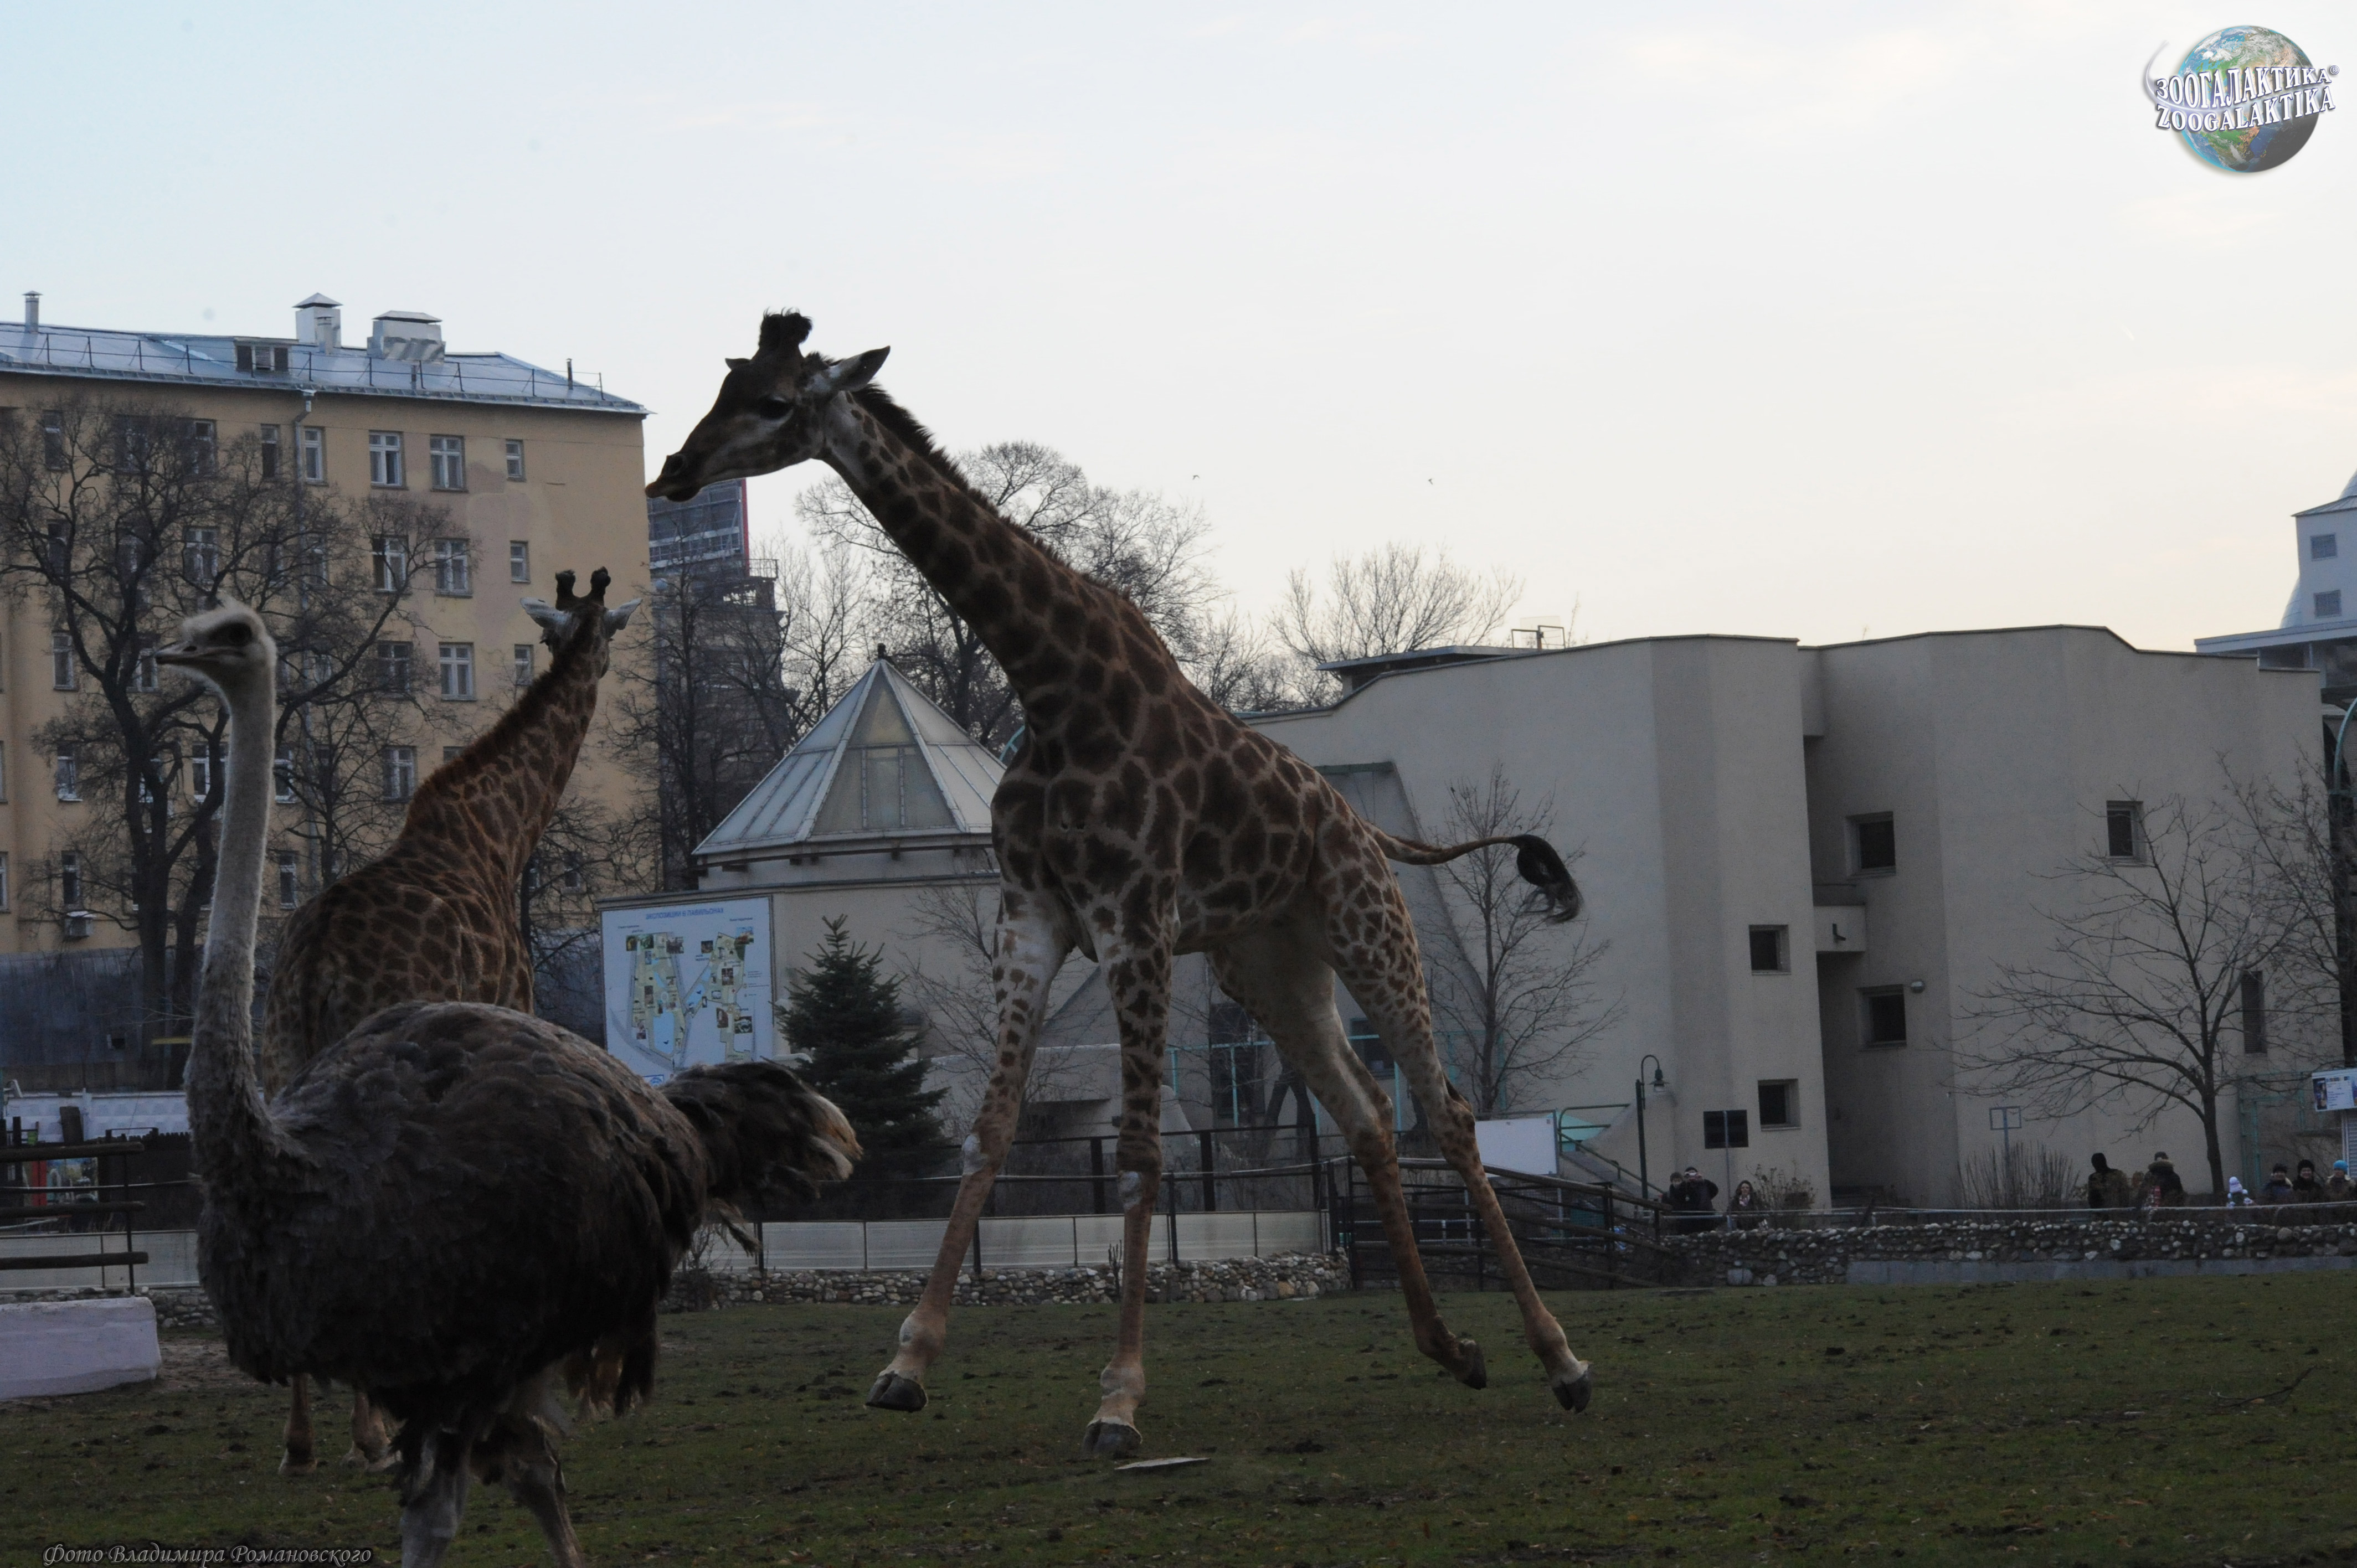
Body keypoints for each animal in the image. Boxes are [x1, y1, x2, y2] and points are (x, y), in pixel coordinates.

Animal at [264, 568, 639, 1476]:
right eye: (604, 634)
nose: (603, 670)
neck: (503, 835)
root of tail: (314, 961)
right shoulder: (516, 1005)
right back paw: (371, 1434)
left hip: (282, 1050)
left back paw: (303, 1443)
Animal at [651, 312, 1595, 1458]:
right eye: (726, 383)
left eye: (779, 402)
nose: (675, 470)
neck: (1052, 683)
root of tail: (1366, 822)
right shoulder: (1033, 915)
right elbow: (992, 1130)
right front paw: (905, 1363)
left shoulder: (1131, 918)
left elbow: (1144, 1148)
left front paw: (1118, 1399)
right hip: (1266, 966)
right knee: (1369, 1112)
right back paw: (1451, 1347)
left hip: (1369, 928)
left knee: (1449, 1114)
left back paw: (1562, 1359)